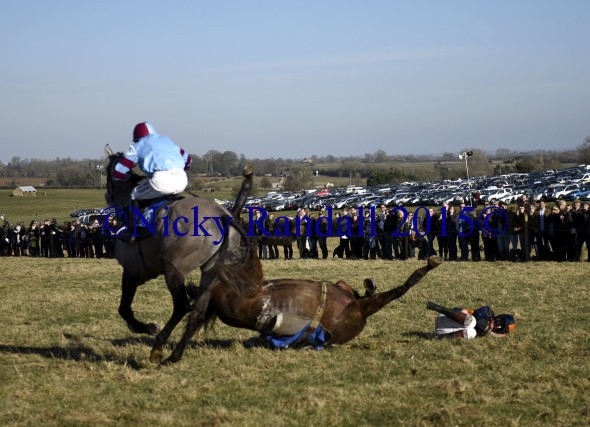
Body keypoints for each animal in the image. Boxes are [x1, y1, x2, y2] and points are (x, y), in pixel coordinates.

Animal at [104, 145, 256, 364]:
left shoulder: (131, 270)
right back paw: (174, 355)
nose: (107, 196)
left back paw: (158, 346)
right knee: (197, 313)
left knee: (182, 306)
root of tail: (223, 216)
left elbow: (124, 308)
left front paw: (147, 327)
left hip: (174, 270)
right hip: (211, 273)